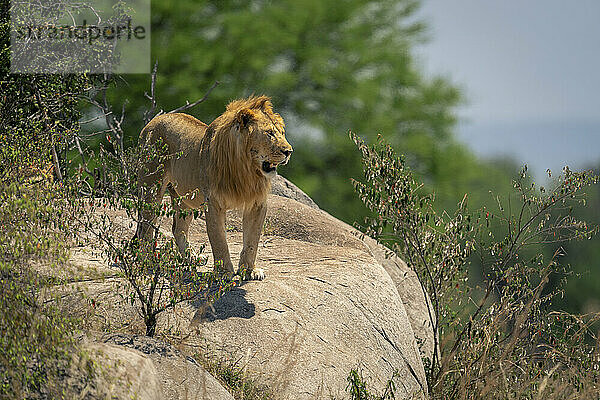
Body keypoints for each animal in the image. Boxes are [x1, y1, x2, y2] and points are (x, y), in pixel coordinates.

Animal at [137, 95, 296, 280]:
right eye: (269, 133)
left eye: (282, 133)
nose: (289, 151)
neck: (247, 169)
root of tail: (154, 120)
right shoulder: (213, 203)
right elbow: (219, 239)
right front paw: (224, 273)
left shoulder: (257, 203)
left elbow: (252, 240)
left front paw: (250, 270)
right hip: (151, 188)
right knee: (145, 227)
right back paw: (146, 260)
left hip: (185, 199)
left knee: (178, 228)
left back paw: (192, 258)